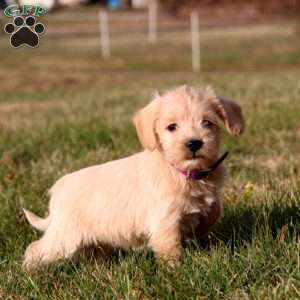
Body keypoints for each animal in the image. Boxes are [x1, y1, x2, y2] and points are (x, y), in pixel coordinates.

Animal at [23, 85, 244, 270]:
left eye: (207, 123)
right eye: (171, 127)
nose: (194, 143)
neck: (184, 173)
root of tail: (58, 190)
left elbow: (214, 210)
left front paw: (201, 226)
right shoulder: (164, 220)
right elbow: (170, 246)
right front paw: (175, 270)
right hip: (64, 237)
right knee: (35, 249)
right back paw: (29, 272)